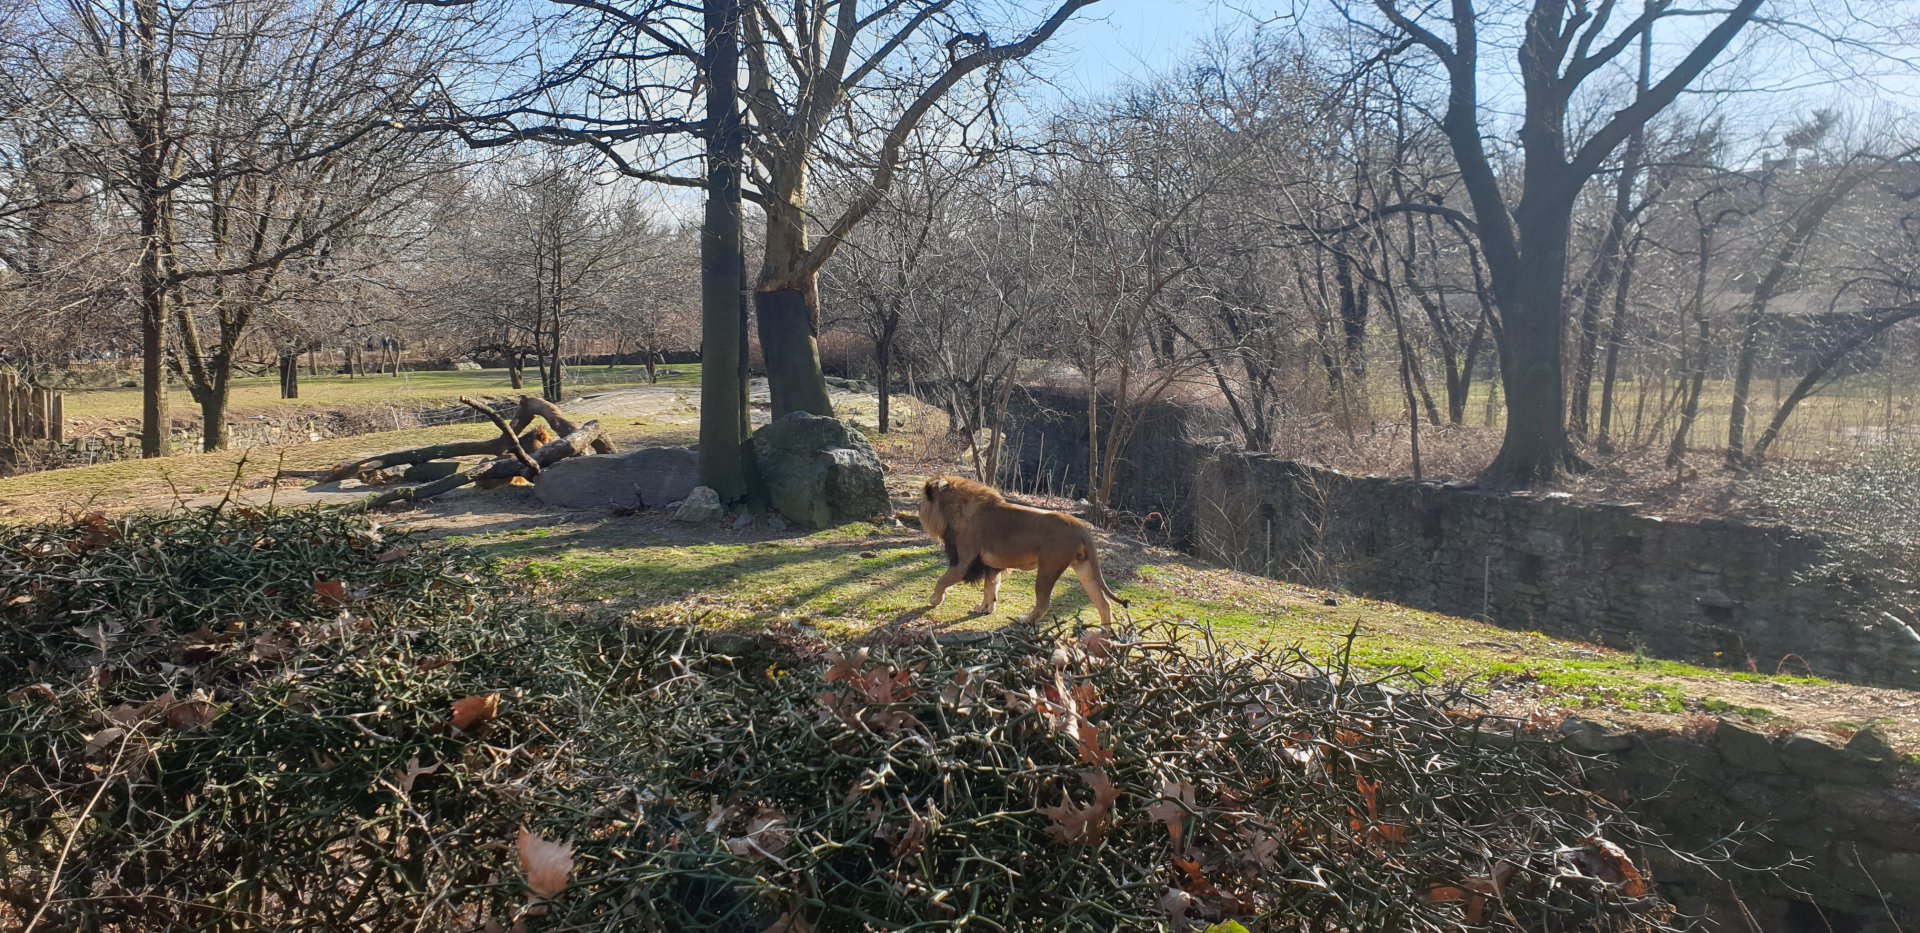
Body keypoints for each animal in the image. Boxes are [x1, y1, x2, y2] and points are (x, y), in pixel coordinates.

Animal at [917, 475, 1128, 626]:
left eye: (923, 499)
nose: (918, 509)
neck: (955, 509)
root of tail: (1079, 525)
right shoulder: (991, 566)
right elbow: (990, 588)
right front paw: (985, 608)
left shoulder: (963, 562)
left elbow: (942, 580)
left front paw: (935, 599)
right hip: (1084, 568)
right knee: (1103, 603)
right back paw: (1105, 638)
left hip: (1048, 569)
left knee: (1044, 604)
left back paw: (1026, 620)